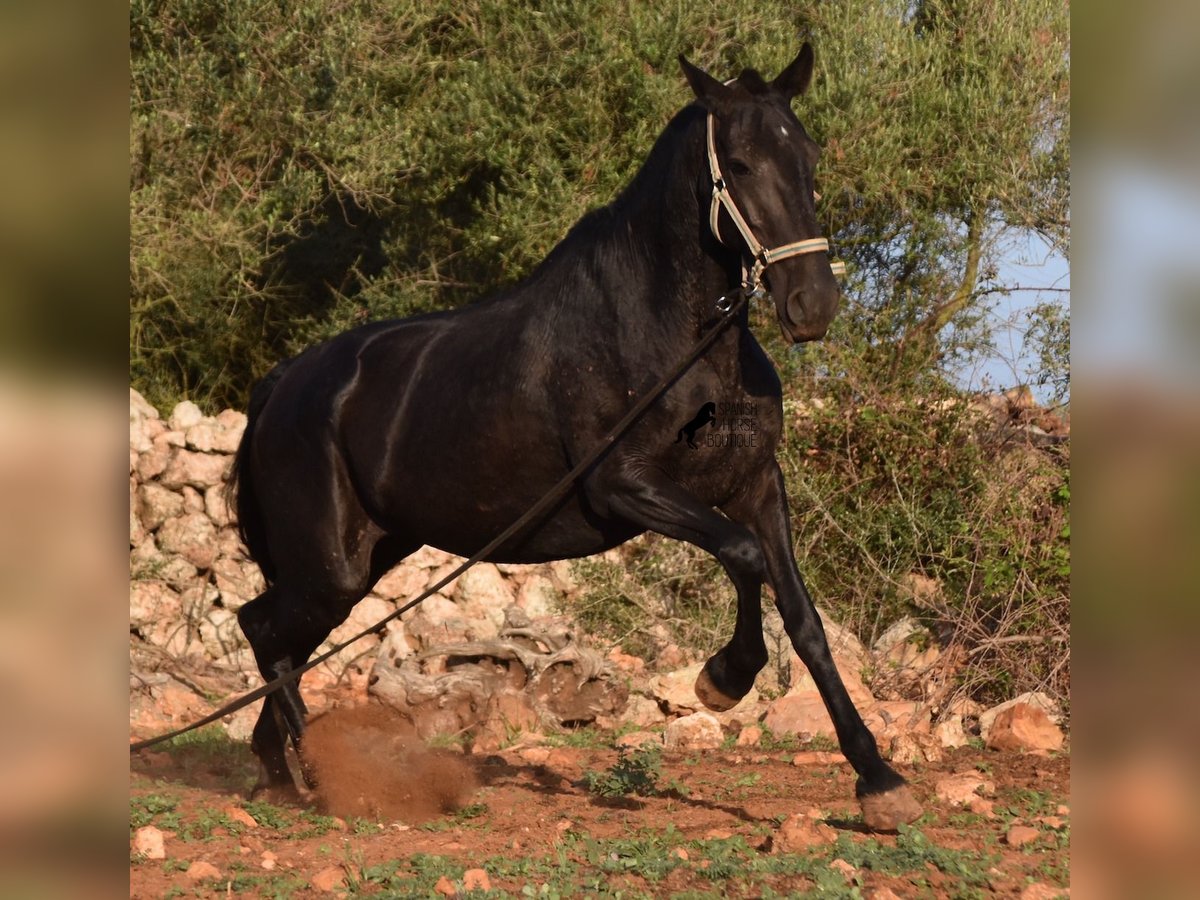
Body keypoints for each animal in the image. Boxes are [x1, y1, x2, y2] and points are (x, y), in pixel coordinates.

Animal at [234, 42, 921, 830]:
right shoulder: (626, 486)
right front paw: (722, 679)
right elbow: (743, 558)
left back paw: (280, 774)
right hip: (330, 566)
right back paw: (322, 778)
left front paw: (879, 781)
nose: (812, 304)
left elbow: (805, 622)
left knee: (280, 639)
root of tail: (282, 382)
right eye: (742, 164)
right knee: (264, 631)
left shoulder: (756, 485)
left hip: (360, 560)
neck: (674, 341)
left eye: (809, 156)